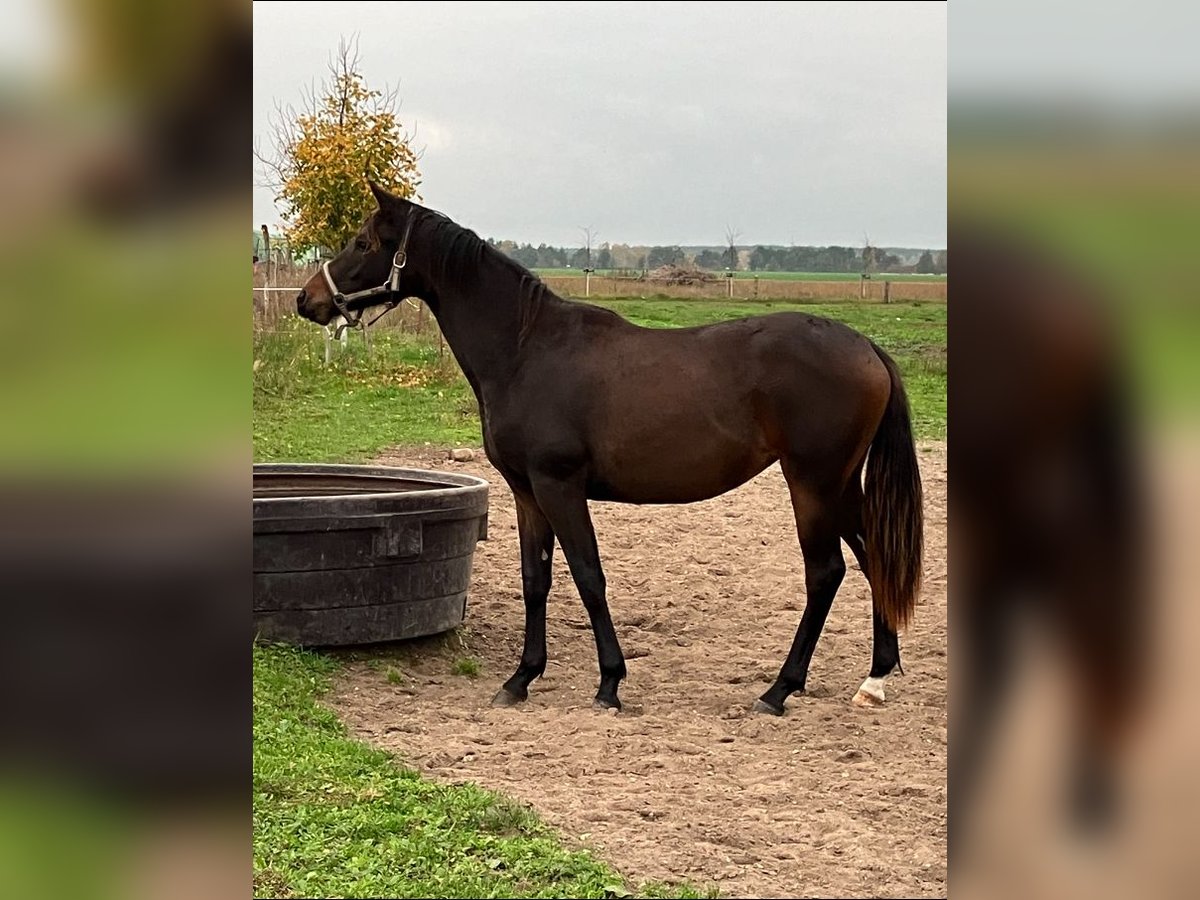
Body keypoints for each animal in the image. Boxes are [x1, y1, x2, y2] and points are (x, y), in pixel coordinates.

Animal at [295, 181, 921, 720]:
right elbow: (536, 579)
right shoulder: (527, 492)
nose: (308, 300)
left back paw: (779, 689)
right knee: (874, 558)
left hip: (812, 483)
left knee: (826, 573)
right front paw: (521, 679)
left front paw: (609, 684)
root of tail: (866, 346)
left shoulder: (560, 486)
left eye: (362, 242)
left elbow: (588, 576)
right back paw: (875, 678)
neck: (527, 350)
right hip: (840, 486)